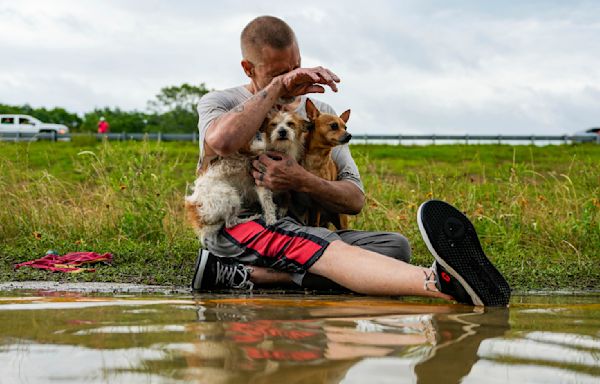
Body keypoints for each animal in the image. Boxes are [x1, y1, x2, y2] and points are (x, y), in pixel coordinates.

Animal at [304, 98, 352, 228]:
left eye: (345, 127)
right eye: (334, 125)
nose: (349, 135)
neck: (316, 156)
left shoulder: (319, 200)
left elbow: (314, 222)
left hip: (340, 218)